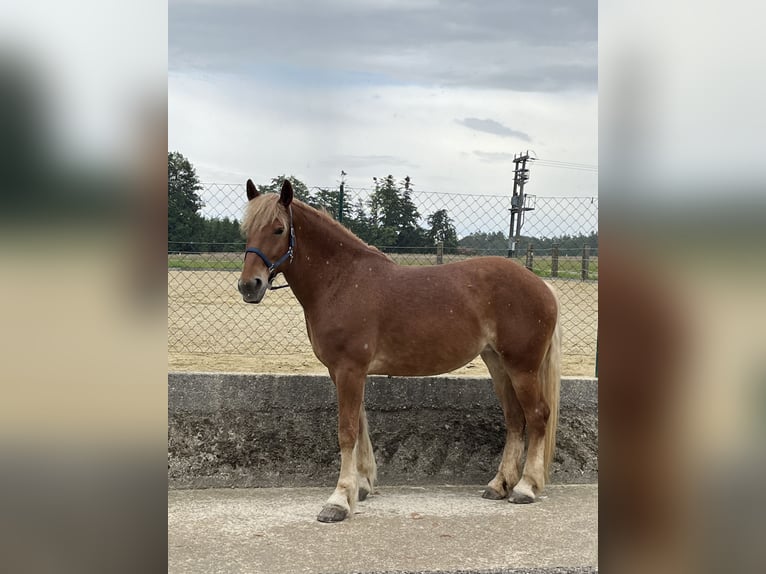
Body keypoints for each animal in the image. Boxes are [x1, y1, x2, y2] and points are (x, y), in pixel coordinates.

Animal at [240, 181, 564, 528]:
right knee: (515, 420)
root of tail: (541, 284)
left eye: (278, 229)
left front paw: (338, 501)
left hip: (522, 368)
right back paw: (499, 484)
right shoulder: (343, 372)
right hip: (498, 364)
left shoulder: (349, 369)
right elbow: (360, 426)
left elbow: (347, 432)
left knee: (537, 416)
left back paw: (526, 487)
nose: (249, 286)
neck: (341, 281)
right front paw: (361, 486)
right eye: (247, 229)